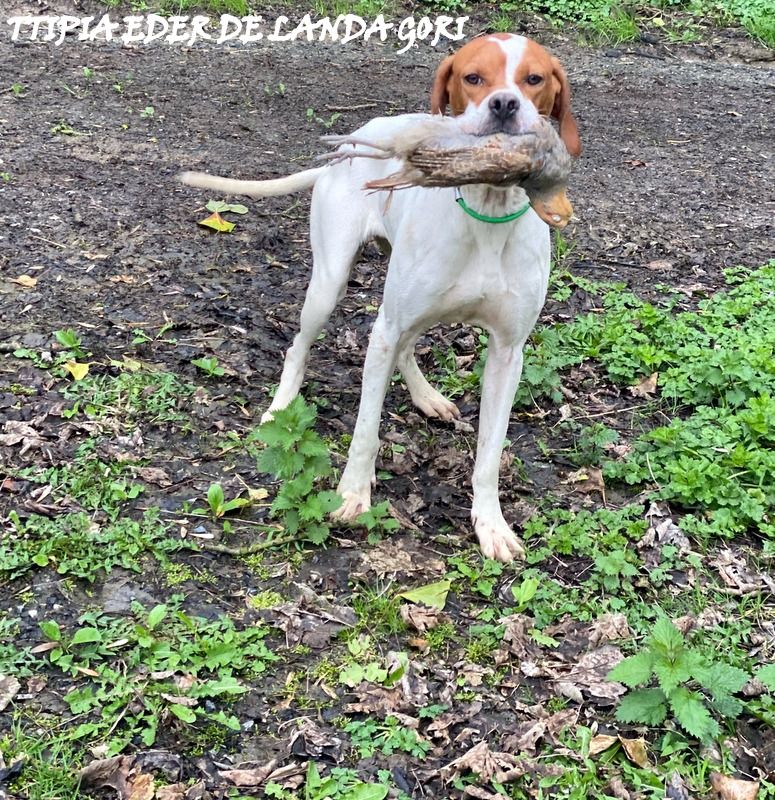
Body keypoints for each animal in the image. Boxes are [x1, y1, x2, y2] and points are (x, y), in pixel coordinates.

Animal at [182, 32, 584, 564]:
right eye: (473, 77)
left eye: (534, 79)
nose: (503, 104)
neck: (486, 208)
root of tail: (359, 131)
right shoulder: (386, 330)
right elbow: (365, 430)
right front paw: (353, 494)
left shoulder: (507, 353)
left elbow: (488, 456)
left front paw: (491, 524)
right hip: (330, 285)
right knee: (301, 346)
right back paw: (281, 406)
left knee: (407, 347)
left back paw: (427, 396)